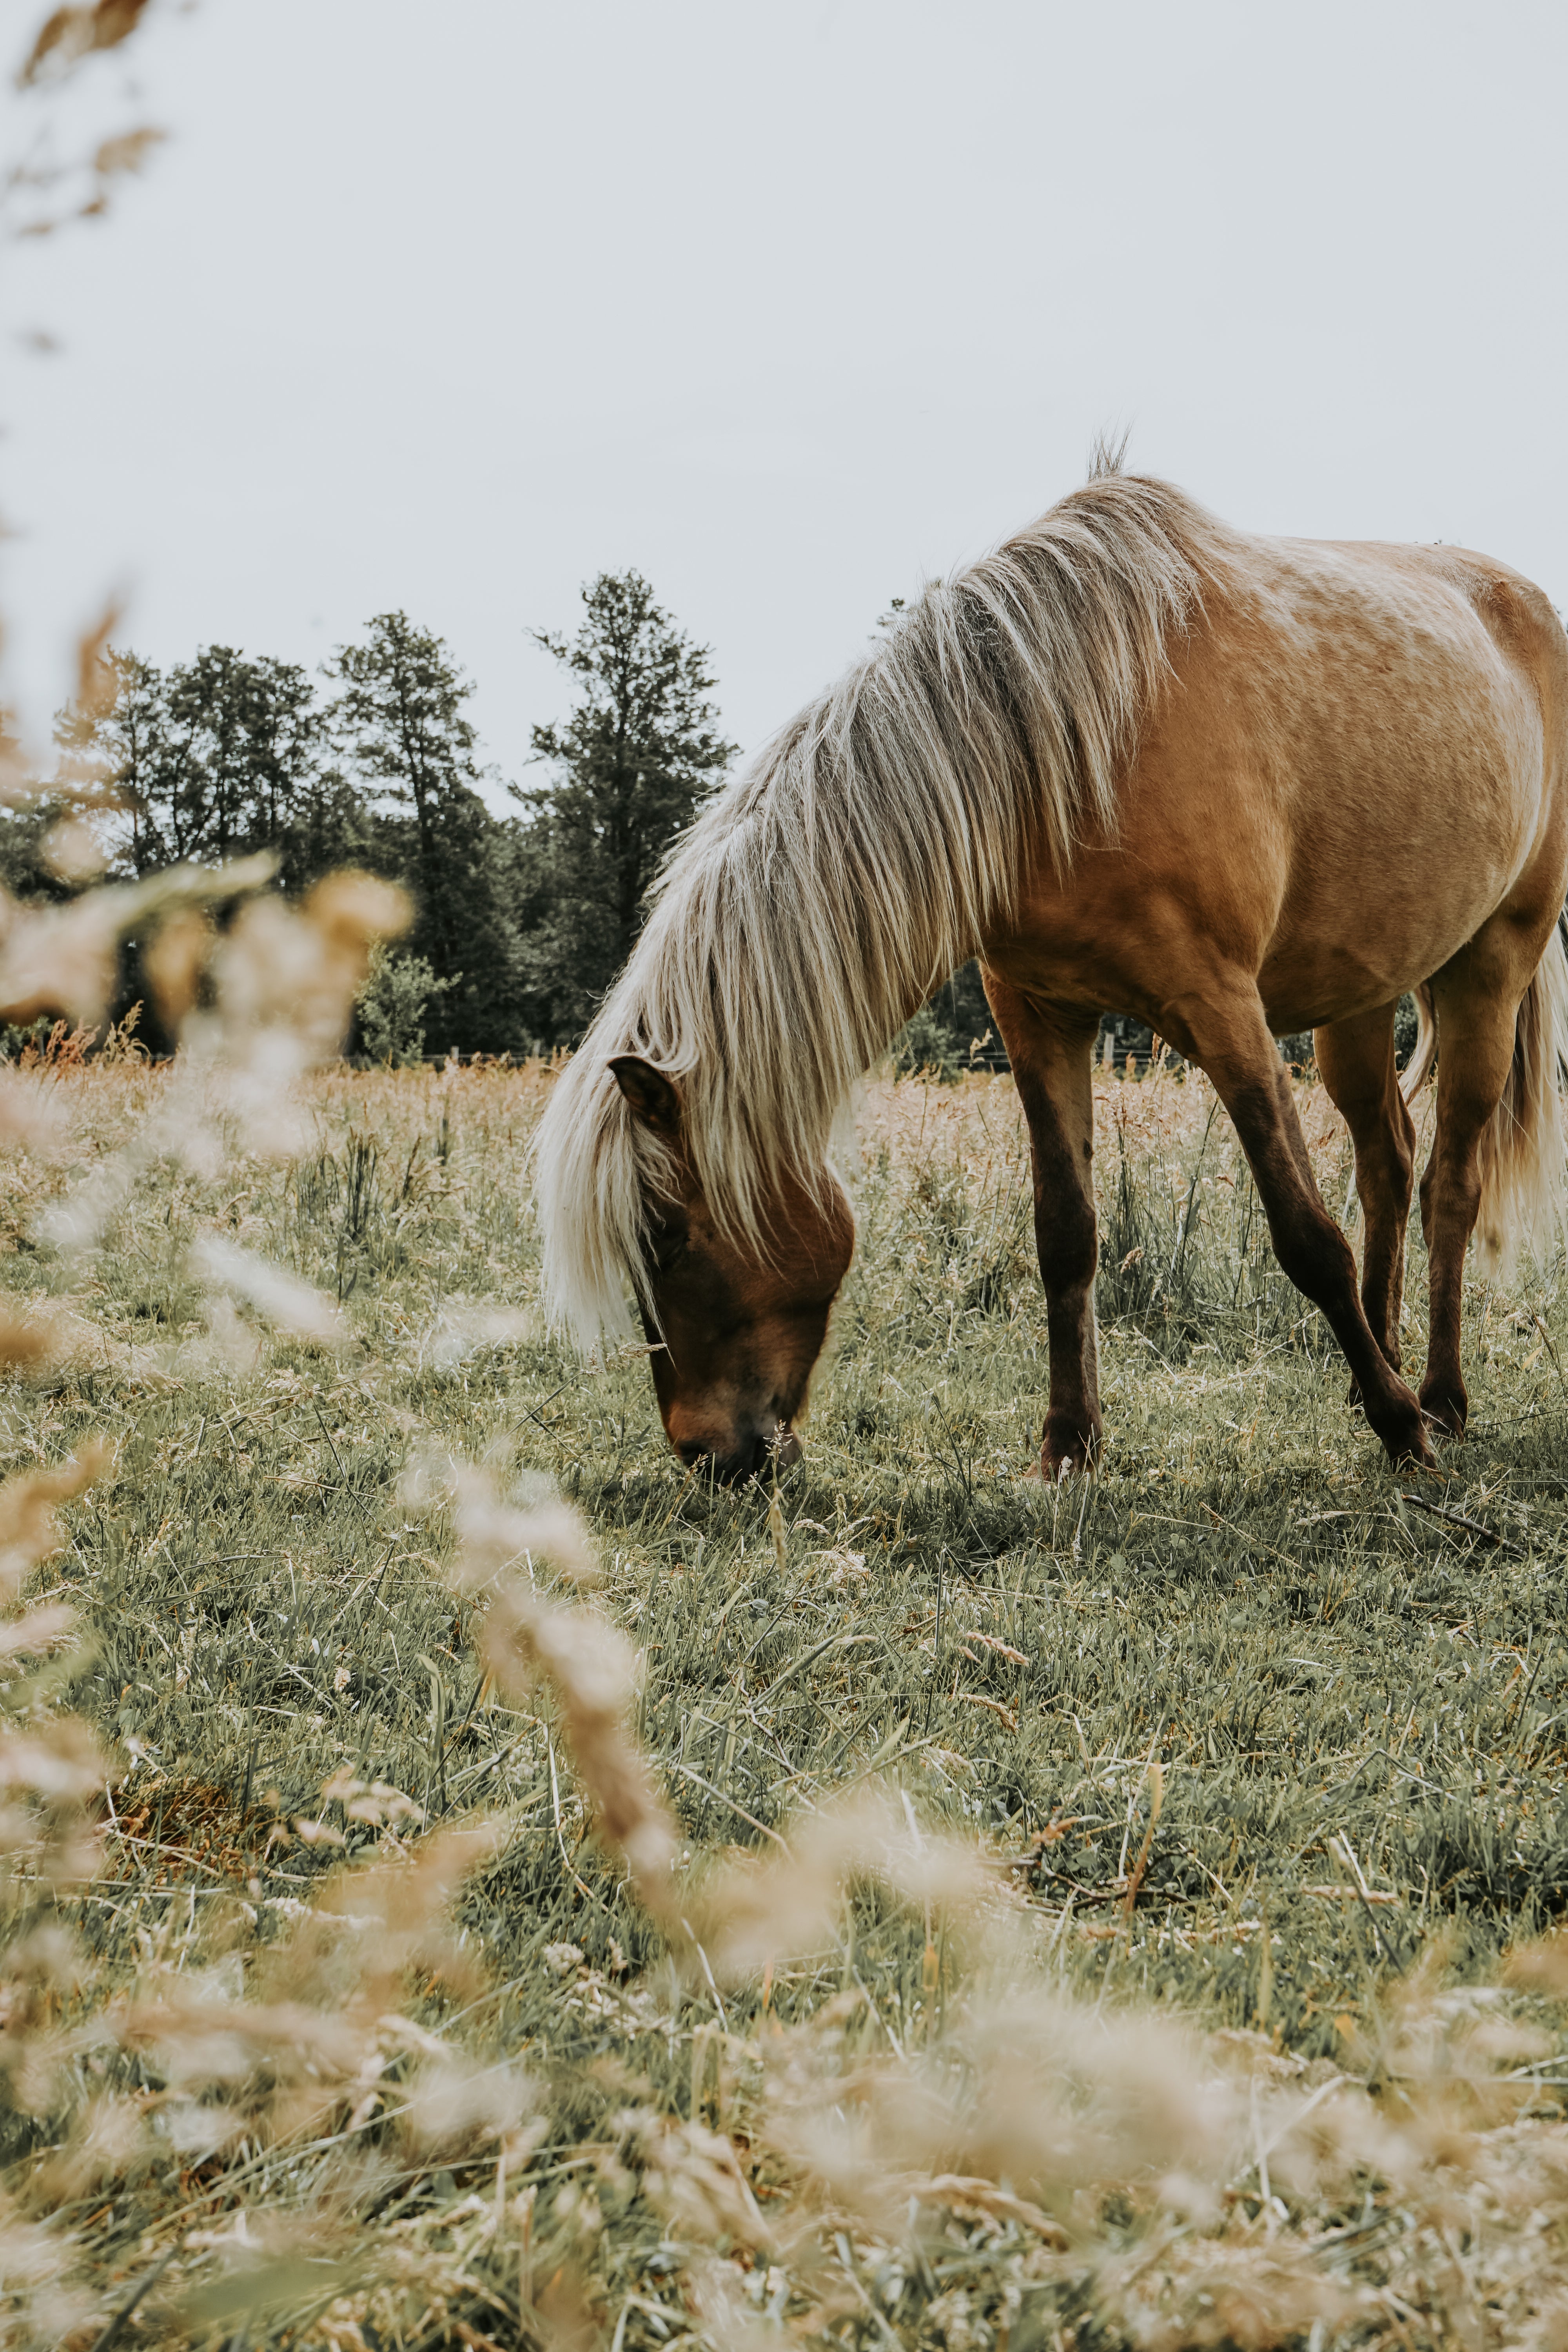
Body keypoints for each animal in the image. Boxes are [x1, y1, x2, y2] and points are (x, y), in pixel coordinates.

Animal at [533, 453, 1568, 1483]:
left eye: (666, 1235)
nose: (706, 1452)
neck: (1069, 747)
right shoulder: (1037, 1013)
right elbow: (1065, 1234)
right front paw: (1069, 1444)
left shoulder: (1222, 1009)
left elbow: (1305, 1235)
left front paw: (1401, 1432)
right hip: (1357, 995)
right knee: (1386, 1160)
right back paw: (1377, 1370)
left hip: (1491, 965)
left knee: (1448, 1184)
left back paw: (1435, 1399)